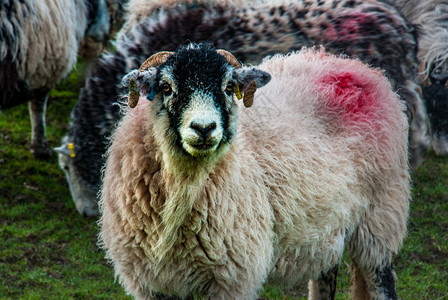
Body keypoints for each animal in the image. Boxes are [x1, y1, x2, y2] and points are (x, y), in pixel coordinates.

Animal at [99, 42, 412, 300]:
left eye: (228, 87)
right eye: (166, 87)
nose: (204, 128)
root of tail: (359, 68)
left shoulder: (232, 277)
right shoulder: (154, 283)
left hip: (380, 217)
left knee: (382, 279)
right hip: (328, 225)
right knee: (326, 275)